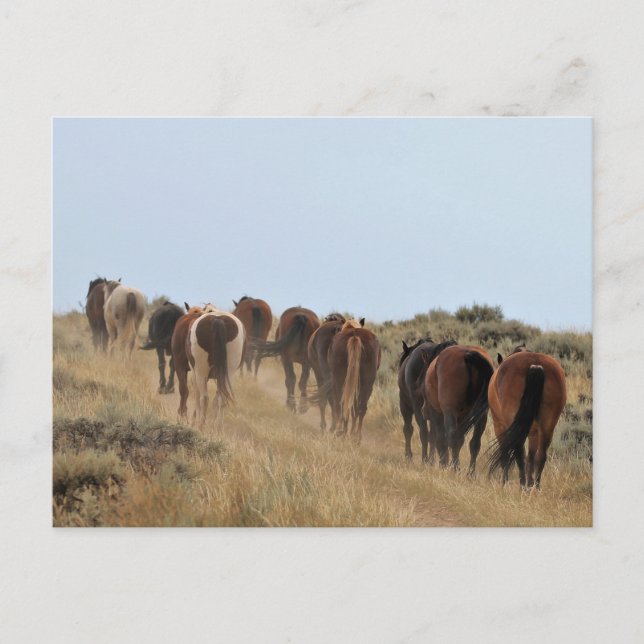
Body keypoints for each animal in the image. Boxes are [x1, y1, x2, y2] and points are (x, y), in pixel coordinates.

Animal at [422, 344, 494, 473]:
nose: (423, 411)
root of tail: (468, 354)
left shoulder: (437, 414)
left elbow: (440, 440)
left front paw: (443, 464)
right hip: (482, 416)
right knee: (474, 443)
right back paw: (470, 473)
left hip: (449, 413)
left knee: (453, 438)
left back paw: (455, 468)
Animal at [487, 349, 566, 488]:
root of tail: (535, 365)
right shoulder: (533, 432)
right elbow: (531, 456)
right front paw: (530, 482)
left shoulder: (500, 426)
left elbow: (505, 454)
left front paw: (504, 483)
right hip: (547, 427)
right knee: (540, 456)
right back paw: (536, 486)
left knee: (519, 454)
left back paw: (523, 485)